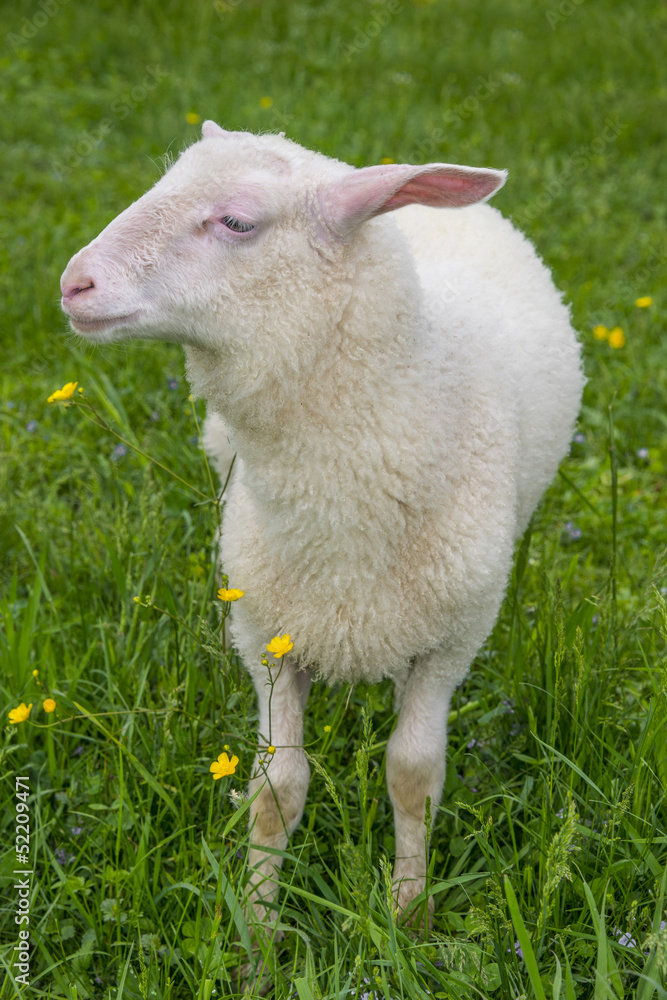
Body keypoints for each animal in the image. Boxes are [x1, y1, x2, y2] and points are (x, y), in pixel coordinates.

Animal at [60, 121, 584, 926]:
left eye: (237, 221)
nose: (73, 283)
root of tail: (375, 168)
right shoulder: (266, 633)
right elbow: (277, 787)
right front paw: (258, 927)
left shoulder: (450, 639)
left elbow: (413, 773)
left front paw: (409, 913)